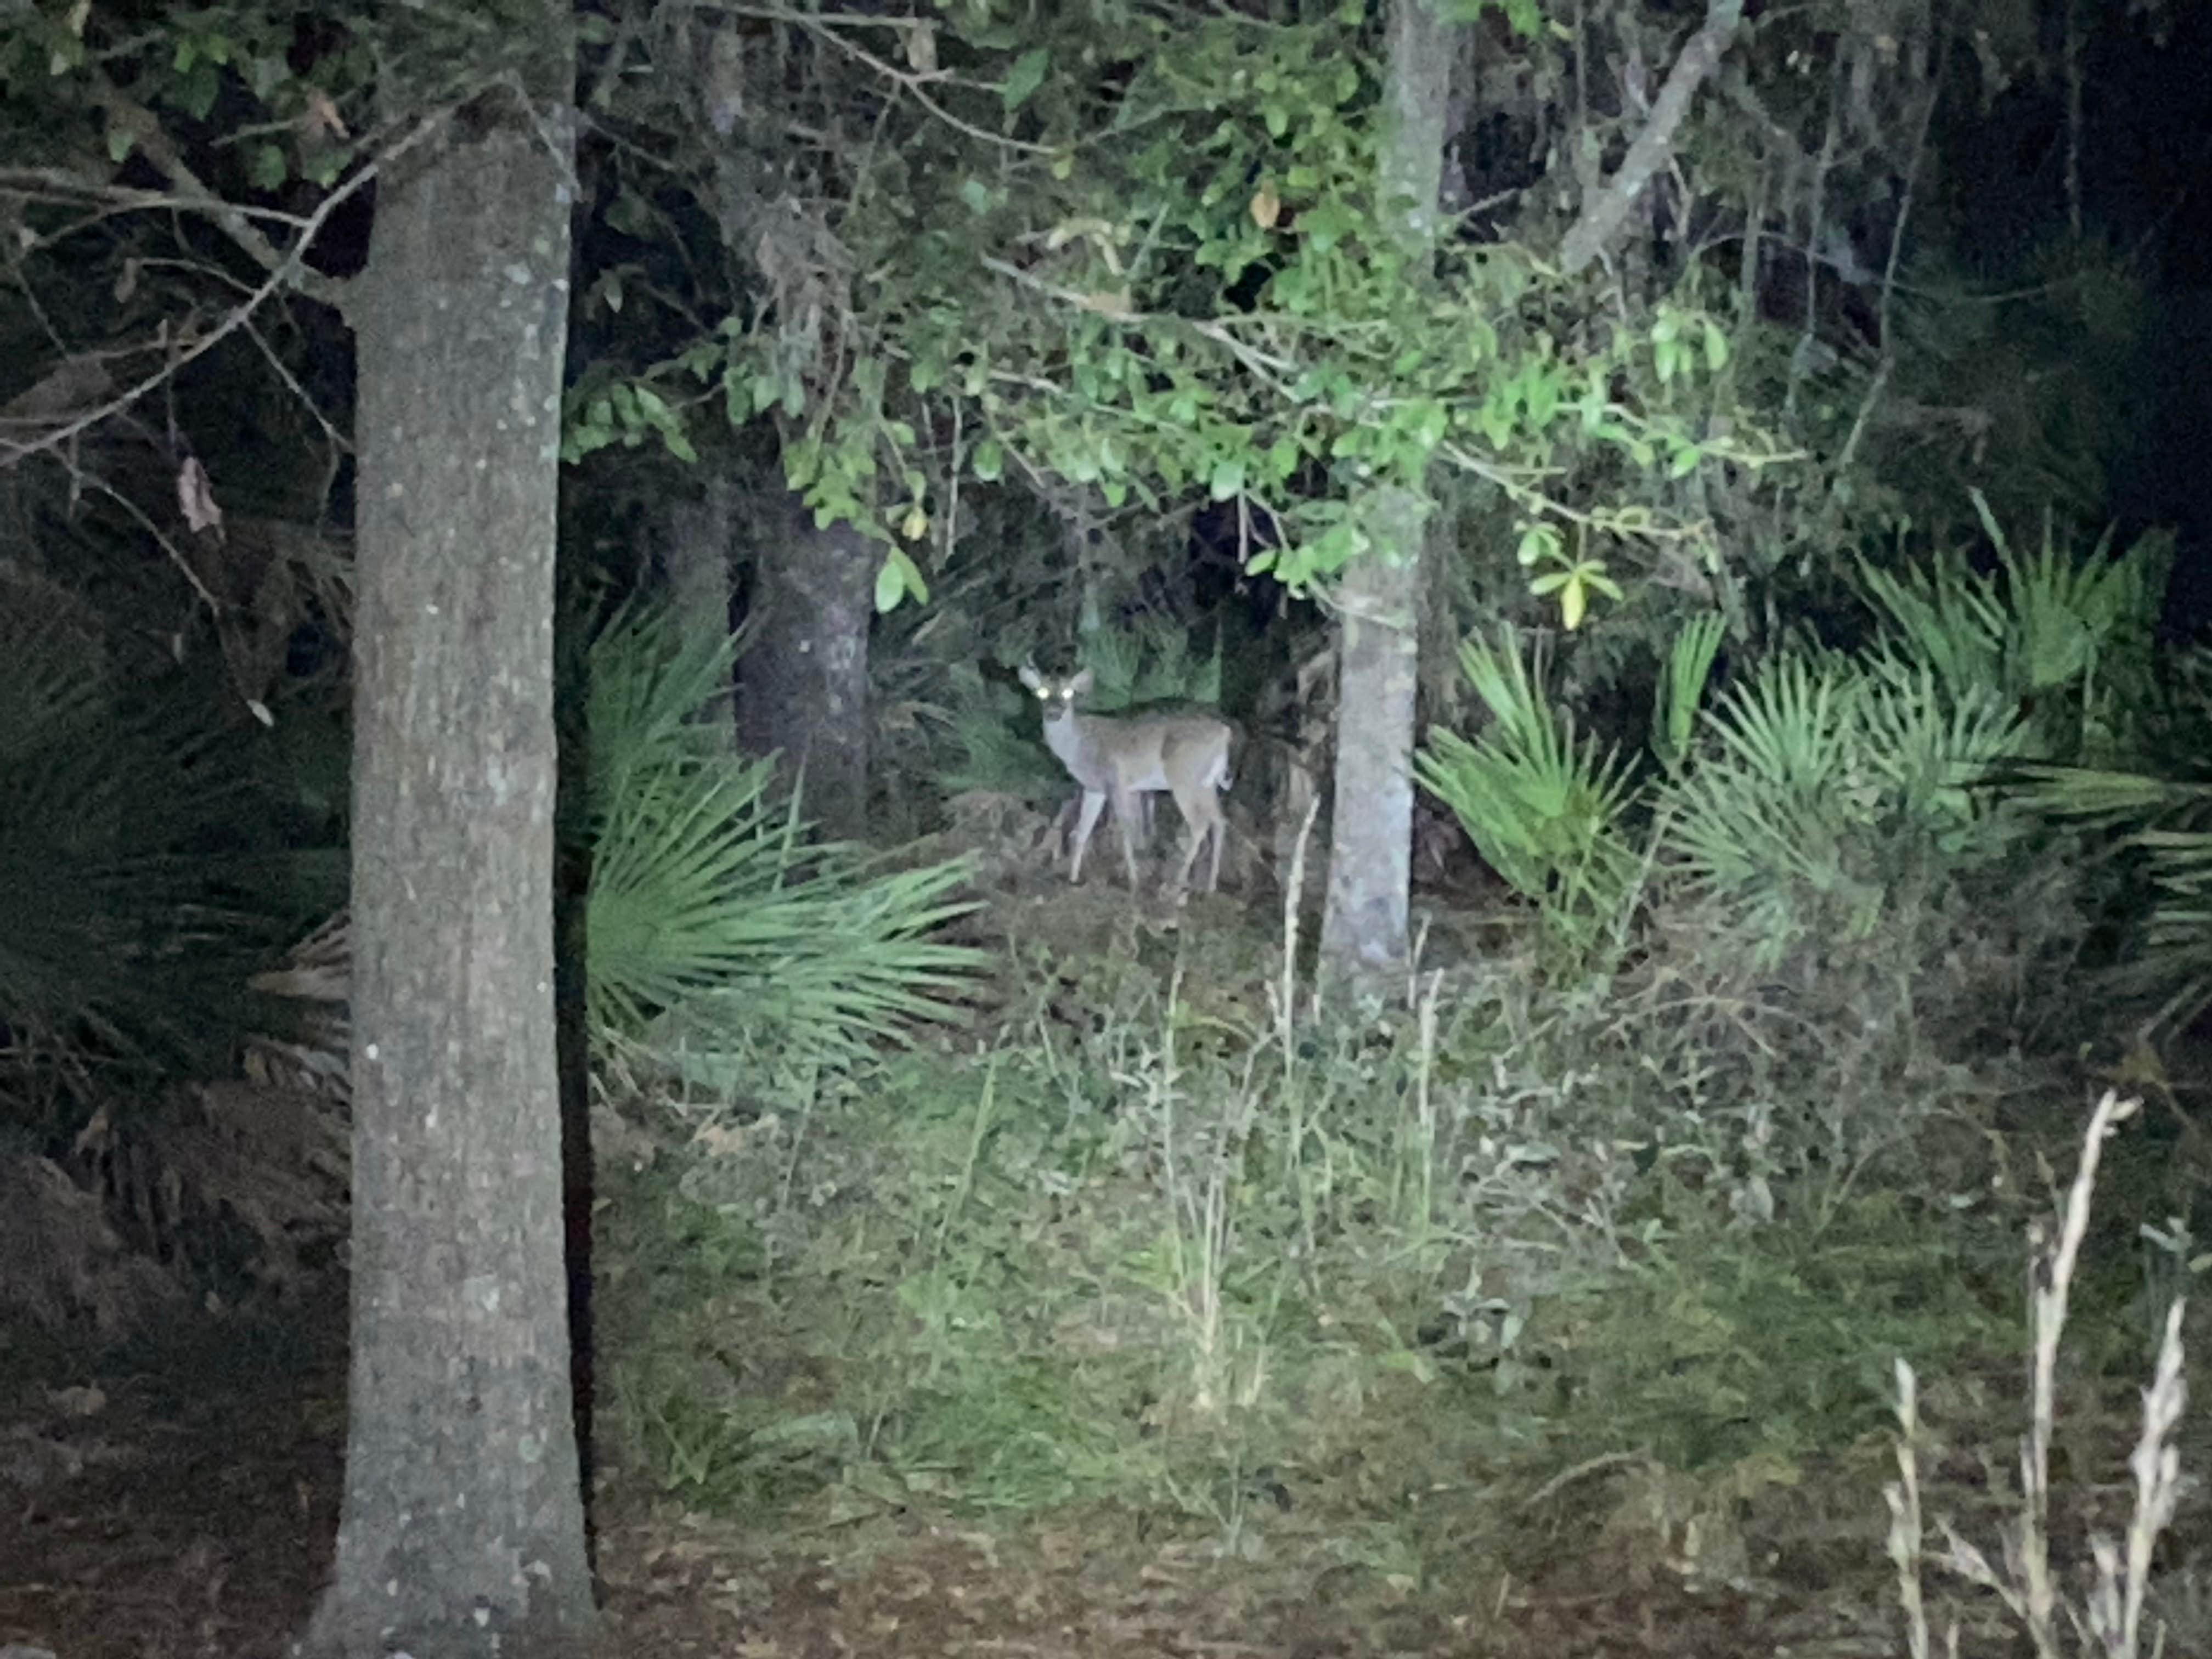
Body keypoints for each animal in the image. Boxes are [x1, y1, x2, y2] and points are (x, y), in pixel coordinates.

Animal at [1013, 663, 1229, 898]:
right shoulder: (1094, 788)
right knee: (1219, 820)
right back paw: (1211, 886)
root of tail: (1225, 734)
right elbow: (1083, 831)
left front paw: (1133, 881)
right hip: (1207, 784)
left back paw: (1178, 882)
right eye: (1041, 692)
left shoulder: (1117, 782)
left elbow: (1126, 831)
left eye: (1068, 692)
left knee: (1200, 824)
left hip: (1185, 779)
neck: (1077, 748)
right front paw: (1073, 877)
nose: (1053, 712)